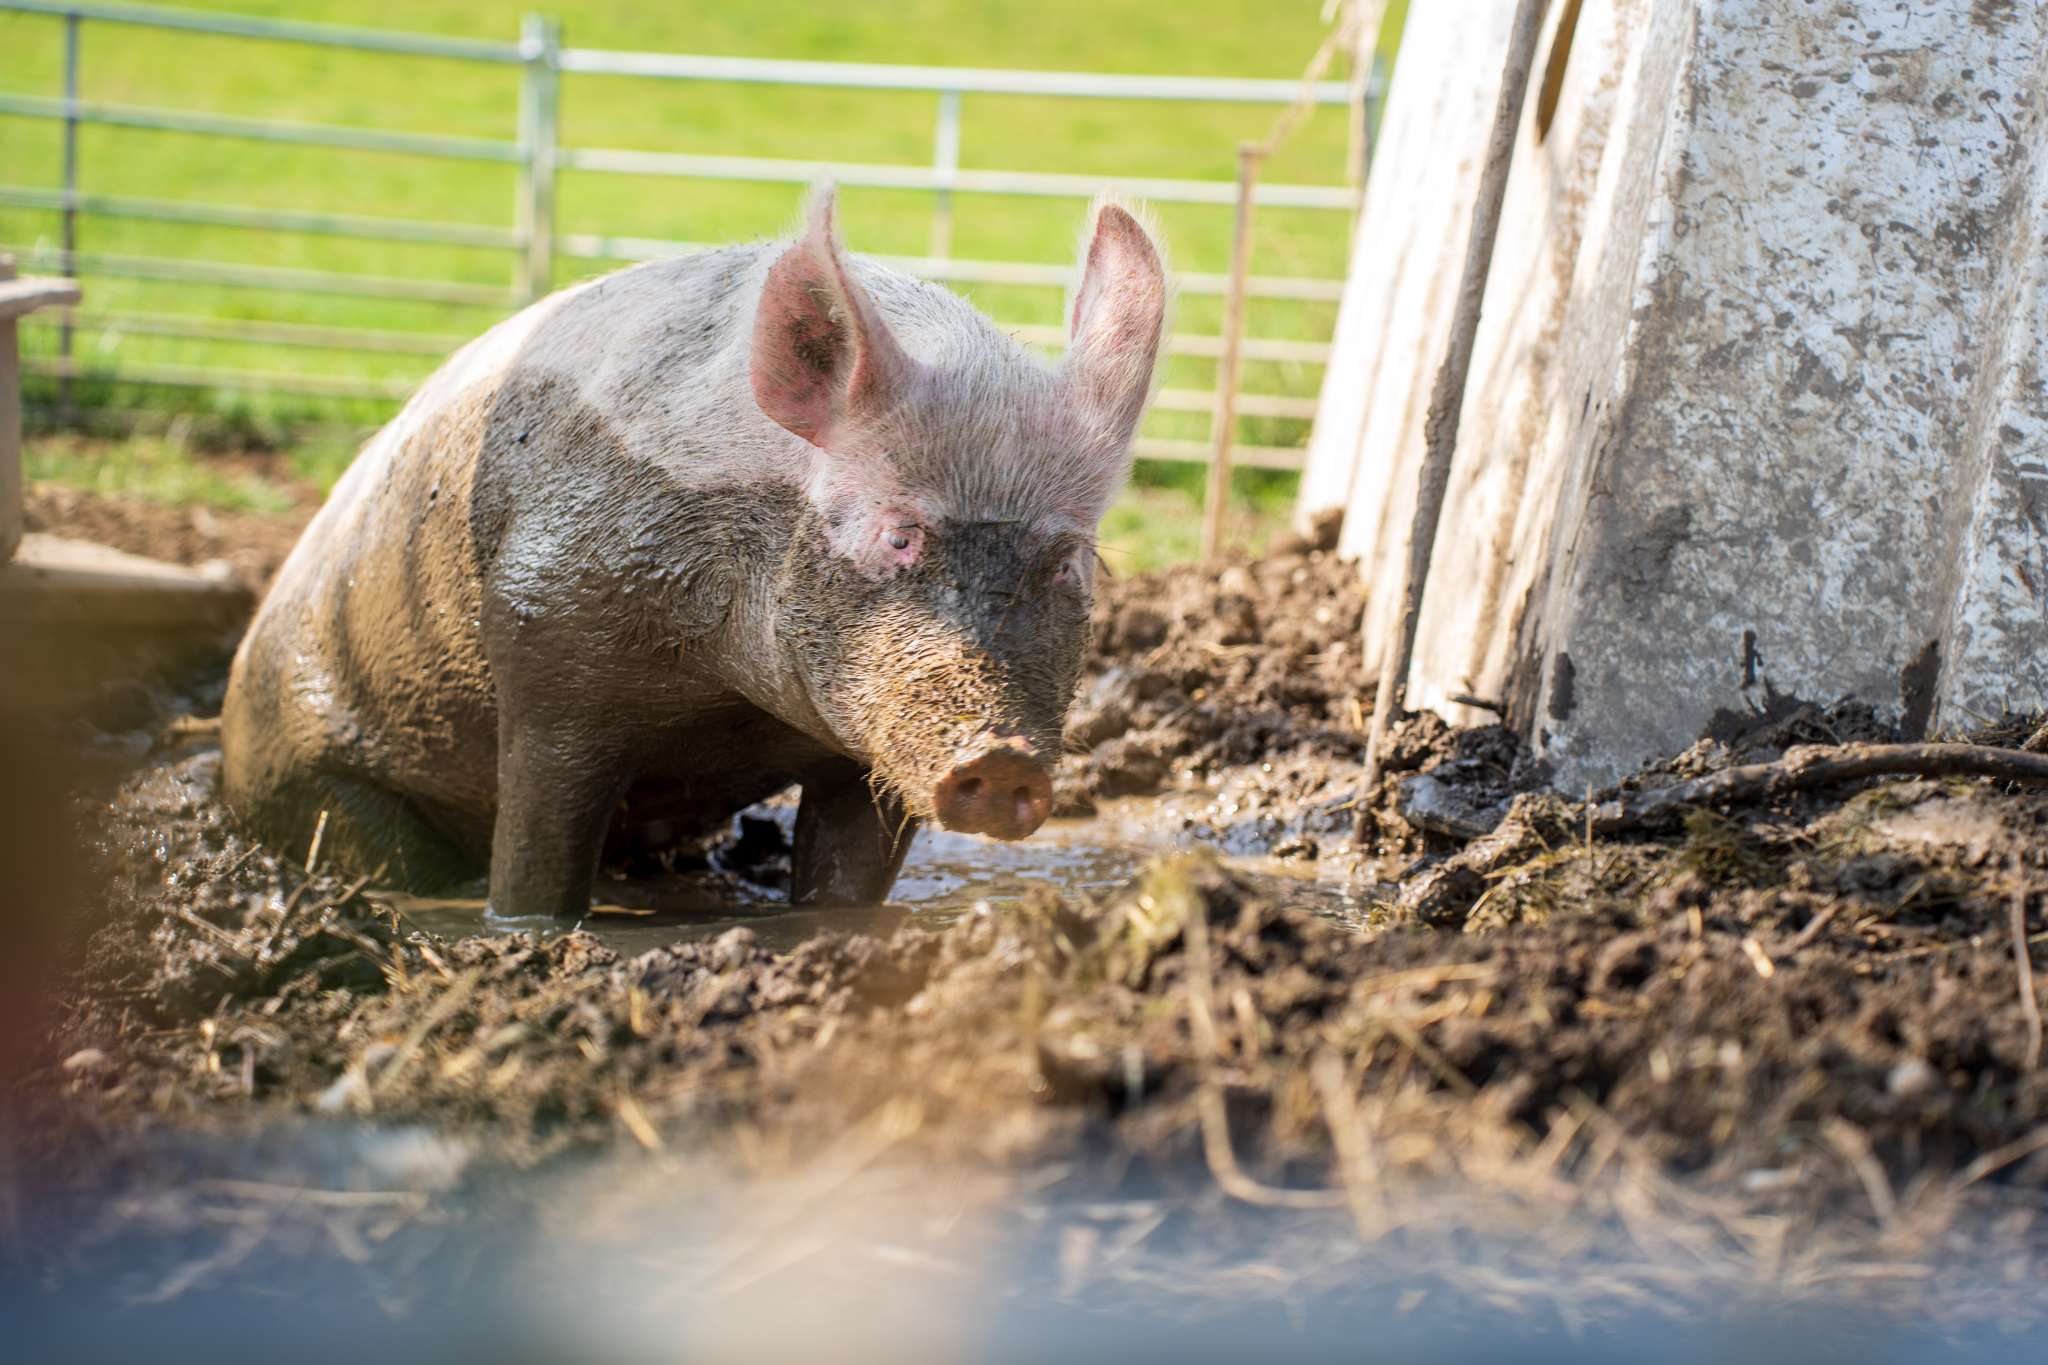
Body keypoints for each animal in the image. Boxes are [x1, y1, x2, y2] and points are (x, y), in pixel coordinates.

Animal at [220, 186, 1168, 917]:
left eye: (1068, 561)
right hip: (307, 768)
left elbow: (850, 872)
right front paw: (524, 929)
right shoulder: (542, 632)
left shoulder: (872, 744)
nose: (1003, 761)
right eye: (899, 532)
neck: (729, 703)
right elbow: (537, 846)